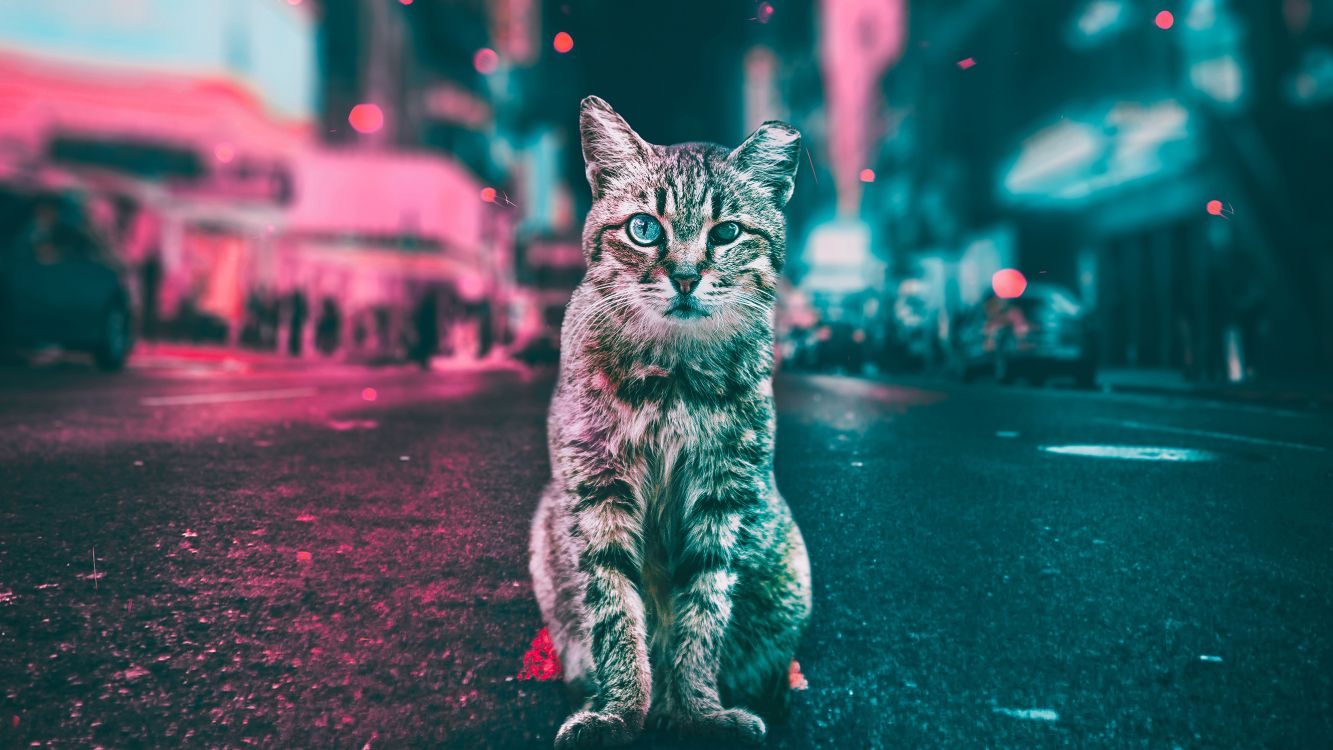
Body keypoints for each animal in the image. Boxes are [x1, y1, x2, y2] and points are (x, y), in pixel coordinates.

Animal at [525, 96, 805, 746]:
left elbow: (703, 612)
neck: (672, 372)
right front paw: (621, 710)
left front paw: (699, 712)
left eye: (726, 233)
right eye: (644, 229)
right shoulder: (595, 488)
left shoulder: (725, 493)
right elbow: (613, 608)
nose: (684, 276)